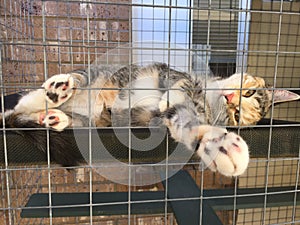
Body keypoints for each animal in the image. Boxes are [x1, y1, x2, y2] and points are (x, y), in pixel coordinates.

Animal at [1, 62, 298, 177]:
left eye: (237, 115)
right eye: (248, 92)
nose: (230, 98)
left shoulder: (172, 116)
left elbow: (186, 120)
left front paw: (220, 145)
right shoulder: (174, 74)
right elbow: (181, 83)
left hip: (92, 122)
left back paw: (52, 118)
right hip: (95, 76)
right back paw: (57, 89)